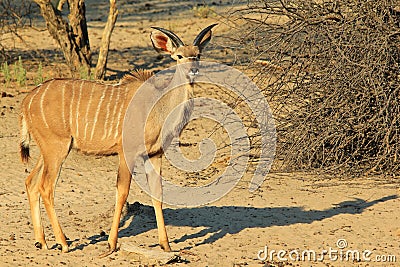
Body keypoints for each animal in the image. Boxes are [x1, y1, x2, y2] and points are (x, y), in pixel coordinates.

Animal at [20, 24, 217, 256]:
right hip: (56, 148)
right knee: (46, 187)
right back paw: (64, 243)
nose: (193, 70)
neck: (158, 106)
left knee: (31, 182)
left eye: (198, 55)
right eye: (179, 56)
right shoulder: (127, 153)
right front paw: (111, 244)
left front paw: (166, 245)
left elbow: (157, 193)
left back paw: (41, 241)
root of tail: (27, 100)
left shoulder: (154, 154)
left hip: (50, 150)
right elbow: (122, 192)